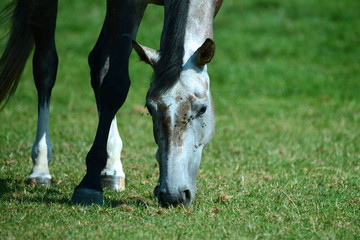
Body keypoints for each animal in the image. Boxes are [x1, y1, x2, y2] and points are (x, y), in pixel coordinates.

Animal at [0, 0, 222, 207]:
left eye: (203, 109)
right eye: (150, 109)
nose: (173, 195)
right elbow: (115, 85)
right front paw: (88, 185)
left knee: (98, 60)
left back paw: (112, 168)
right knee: (45, 66)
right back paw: (40, 168)